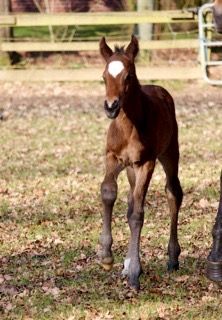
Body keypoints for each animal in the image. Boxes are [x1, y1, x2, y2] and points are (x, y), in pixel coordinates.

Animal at [99, 35, 183, 290]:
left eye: (128, 76)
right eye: (103, 77)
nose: (111, 106)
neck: (128, 126)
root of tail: (159, 89)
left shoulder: (146, 163)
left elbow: (137, 214)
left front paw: (135, 272)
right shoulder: (113, 158)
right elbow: (109, 193)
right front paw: (107, 256)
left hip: (169, 153)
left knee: (173, 193)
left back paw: (172, 258)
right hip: (130, 169)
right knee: (129, 199)